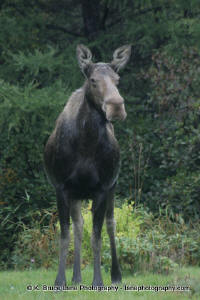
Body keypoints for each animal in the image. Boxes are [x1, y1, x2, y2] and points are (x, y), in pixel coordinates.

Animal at [43, 44, 131, 286]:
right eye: (92, 79)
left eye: (117, 79)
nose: (116, 106)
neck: (85, 143)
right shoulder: (62, 187)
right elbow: (65, 235)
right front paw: (60, 281)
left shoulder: (102, 187)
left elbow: (97, 236)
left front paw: (98, 281)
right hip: (77, 194)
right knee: (79, 225)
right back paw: (76, 277)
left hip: (112, 186)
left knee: (110, 223)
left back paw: (116, 275)